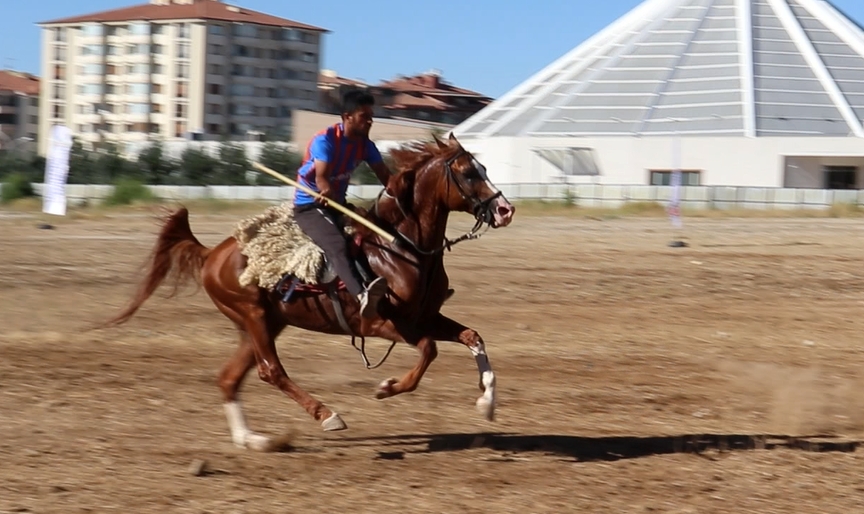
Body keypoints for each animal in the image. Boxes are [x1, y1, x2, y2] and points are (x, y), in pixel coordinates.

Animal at [105, 132, 516, 448]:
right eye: (467, 172)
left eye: (483, 169)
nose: (505, 211)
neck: (400, 248)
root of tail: (211, 253)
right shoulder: (379, 322)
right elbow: (429, 351)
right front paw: (387, 387)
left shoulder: (426, 318)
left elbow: (474, 337)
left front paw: (487, 404)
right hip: (253, 315)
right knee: (270, 371)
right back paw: (327, 415)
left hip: (263, 324)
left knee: (230, 377)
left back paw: (252, 440)